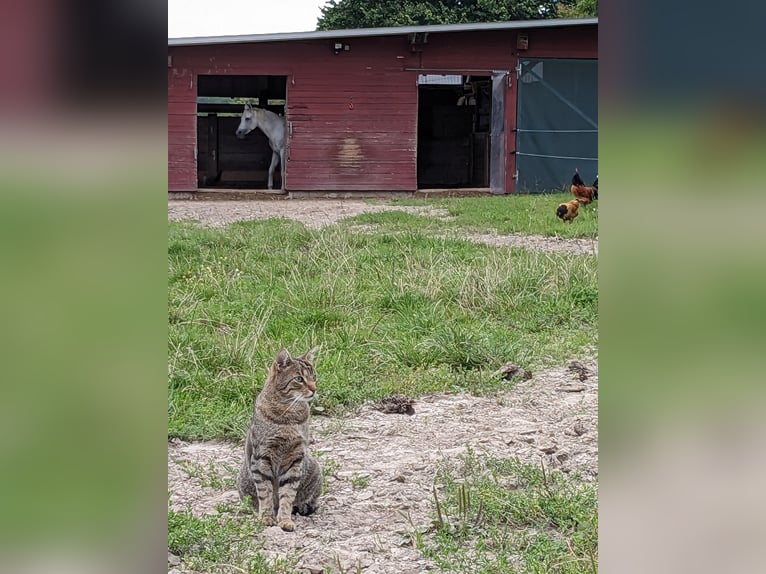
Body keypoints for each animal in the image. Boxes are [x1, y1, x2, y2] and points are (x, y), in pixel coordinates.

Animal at [240, 346, 324, 532]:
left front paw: (285, 520)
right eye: (299, 379)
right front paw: (266, 517)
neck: (290, 414)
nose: (314, 389)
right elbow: (265, 492)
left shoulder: (295, 459)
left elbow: (288, 495)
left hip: (314, 469)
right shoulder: (261, 457)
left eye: (314, 377)